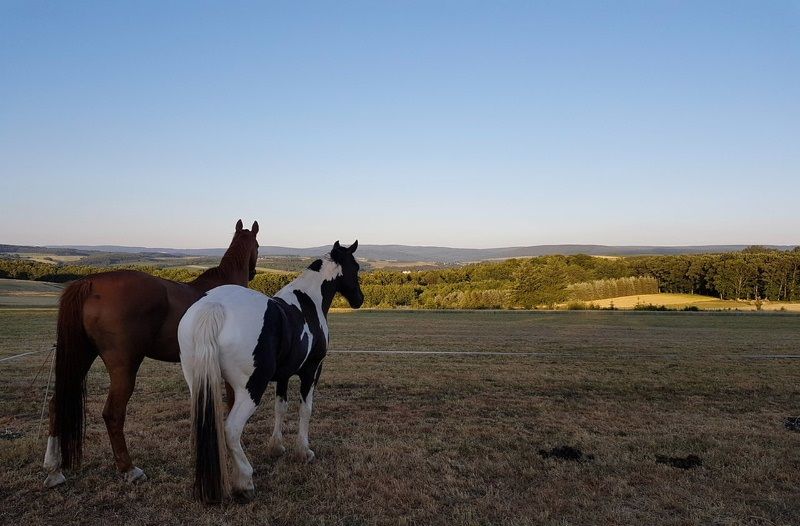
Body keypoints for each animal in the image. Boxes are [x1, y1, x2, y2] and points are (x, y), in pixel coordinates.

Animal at [43, 219, 260, 488]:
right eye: (258, 246)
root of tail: (90, 283)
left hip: (81, 358)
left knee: (56, 404)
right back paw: (129, 469)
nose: (253, 272)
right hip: (124, 367)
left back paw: (53, 470)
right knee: (113, 414)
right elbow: (231, 405)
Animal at [178, 240, 363, 503]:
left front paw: (276, 447)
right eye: (355, 267)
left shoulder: (283, 375)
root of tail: (214, 307)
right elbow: (305, 409)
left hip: (198, 385)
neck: (308, 302)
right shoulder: (311, 371)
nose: (359, 299)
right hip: (251, 389)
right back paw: (244, 481)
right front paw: (303, 451)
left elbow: (280, 408)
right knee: (231, 430)